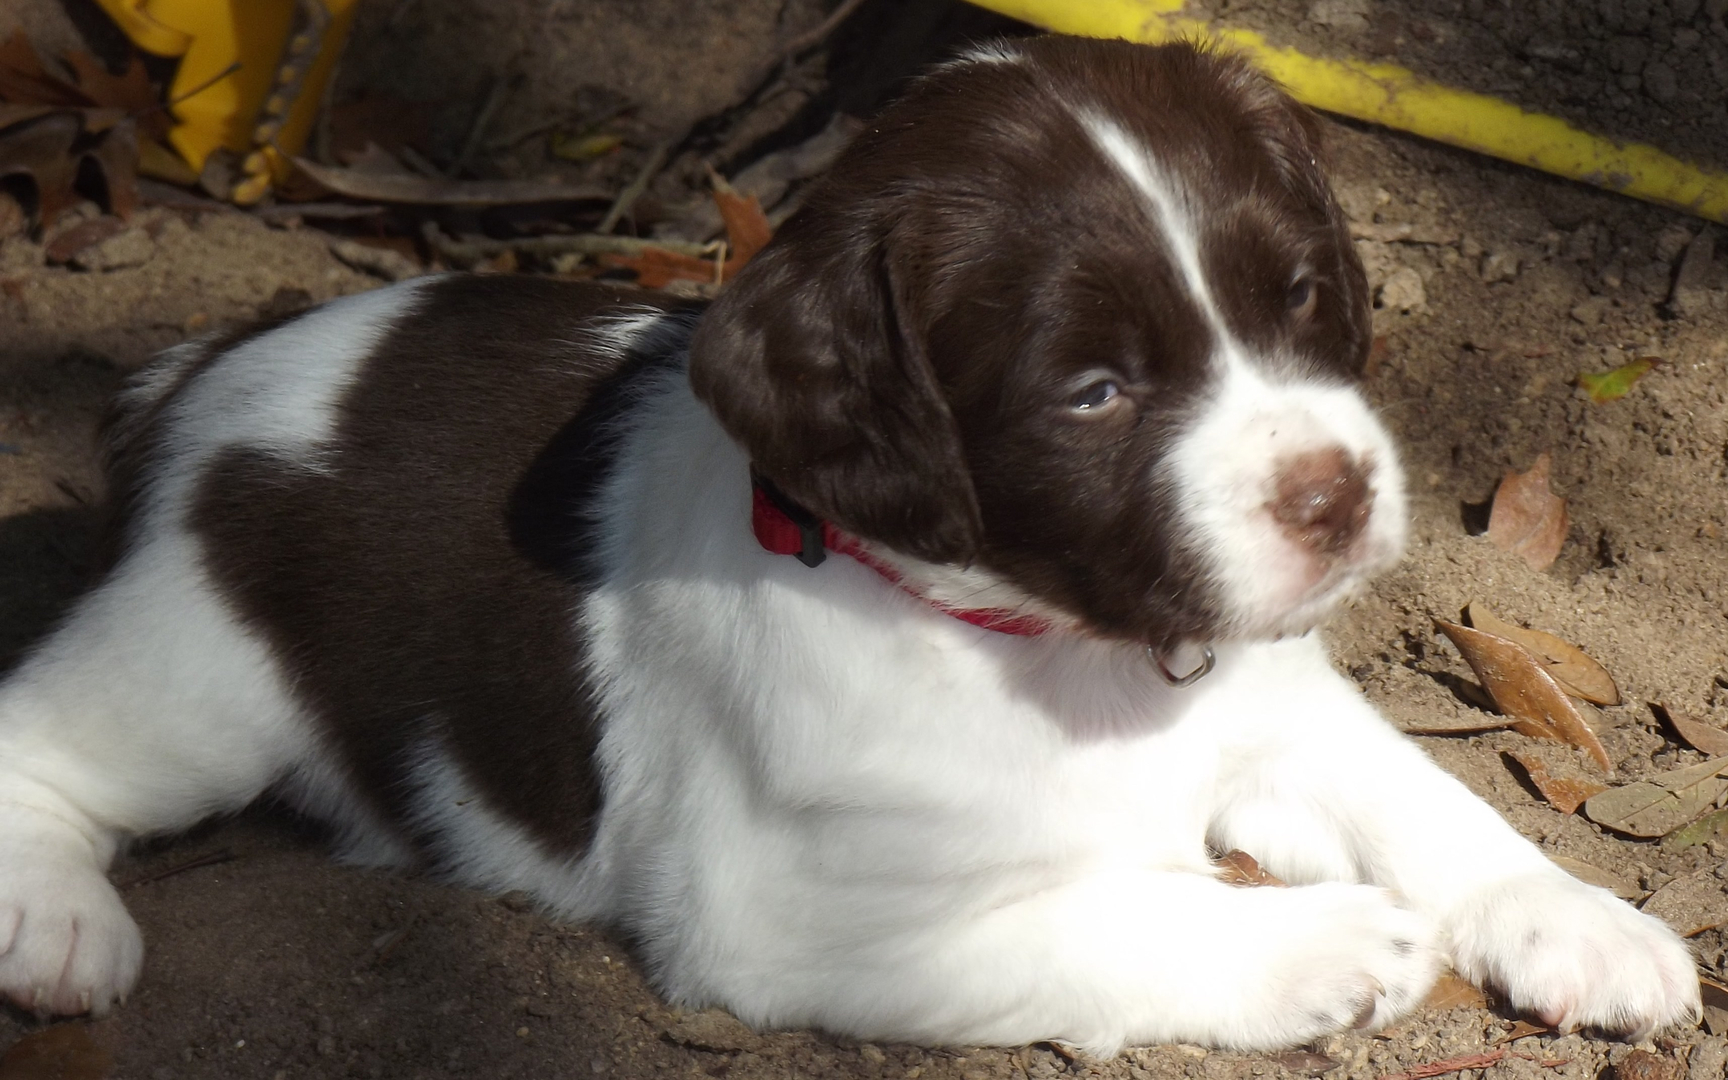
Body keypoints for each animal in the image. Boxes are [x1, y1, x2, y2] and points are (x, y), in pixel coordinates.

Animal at [0, 35, 1700, 1050]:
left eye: (1296, 298)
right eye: (1094, 392)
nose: (1335, 495)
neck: (1062, 653)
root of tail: (208, 364)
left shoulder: (1279, 705)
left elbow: (1429, 802)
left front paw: (1587, 923)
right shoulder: (791, 915)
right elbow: (1102, 916)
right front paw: (1330, 945)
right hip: (202, 663)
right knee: (53, 739)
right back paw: (55, 921)